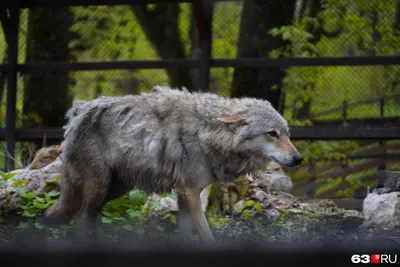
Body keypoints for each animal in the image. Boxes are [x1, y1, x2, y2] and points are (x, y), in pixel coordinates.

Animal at [45, 85, 304, 243]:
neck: (207, 133)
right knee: (79, 223)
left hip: (112, 190)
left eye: (287, 134)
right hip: (99, 188)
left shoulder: (183, 195)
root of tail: (77, 114)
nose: (298, 158)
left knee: (73, 216)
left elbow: (186, 236)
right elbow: (207, 236)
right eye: (272, 134)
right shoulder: (190, 192)